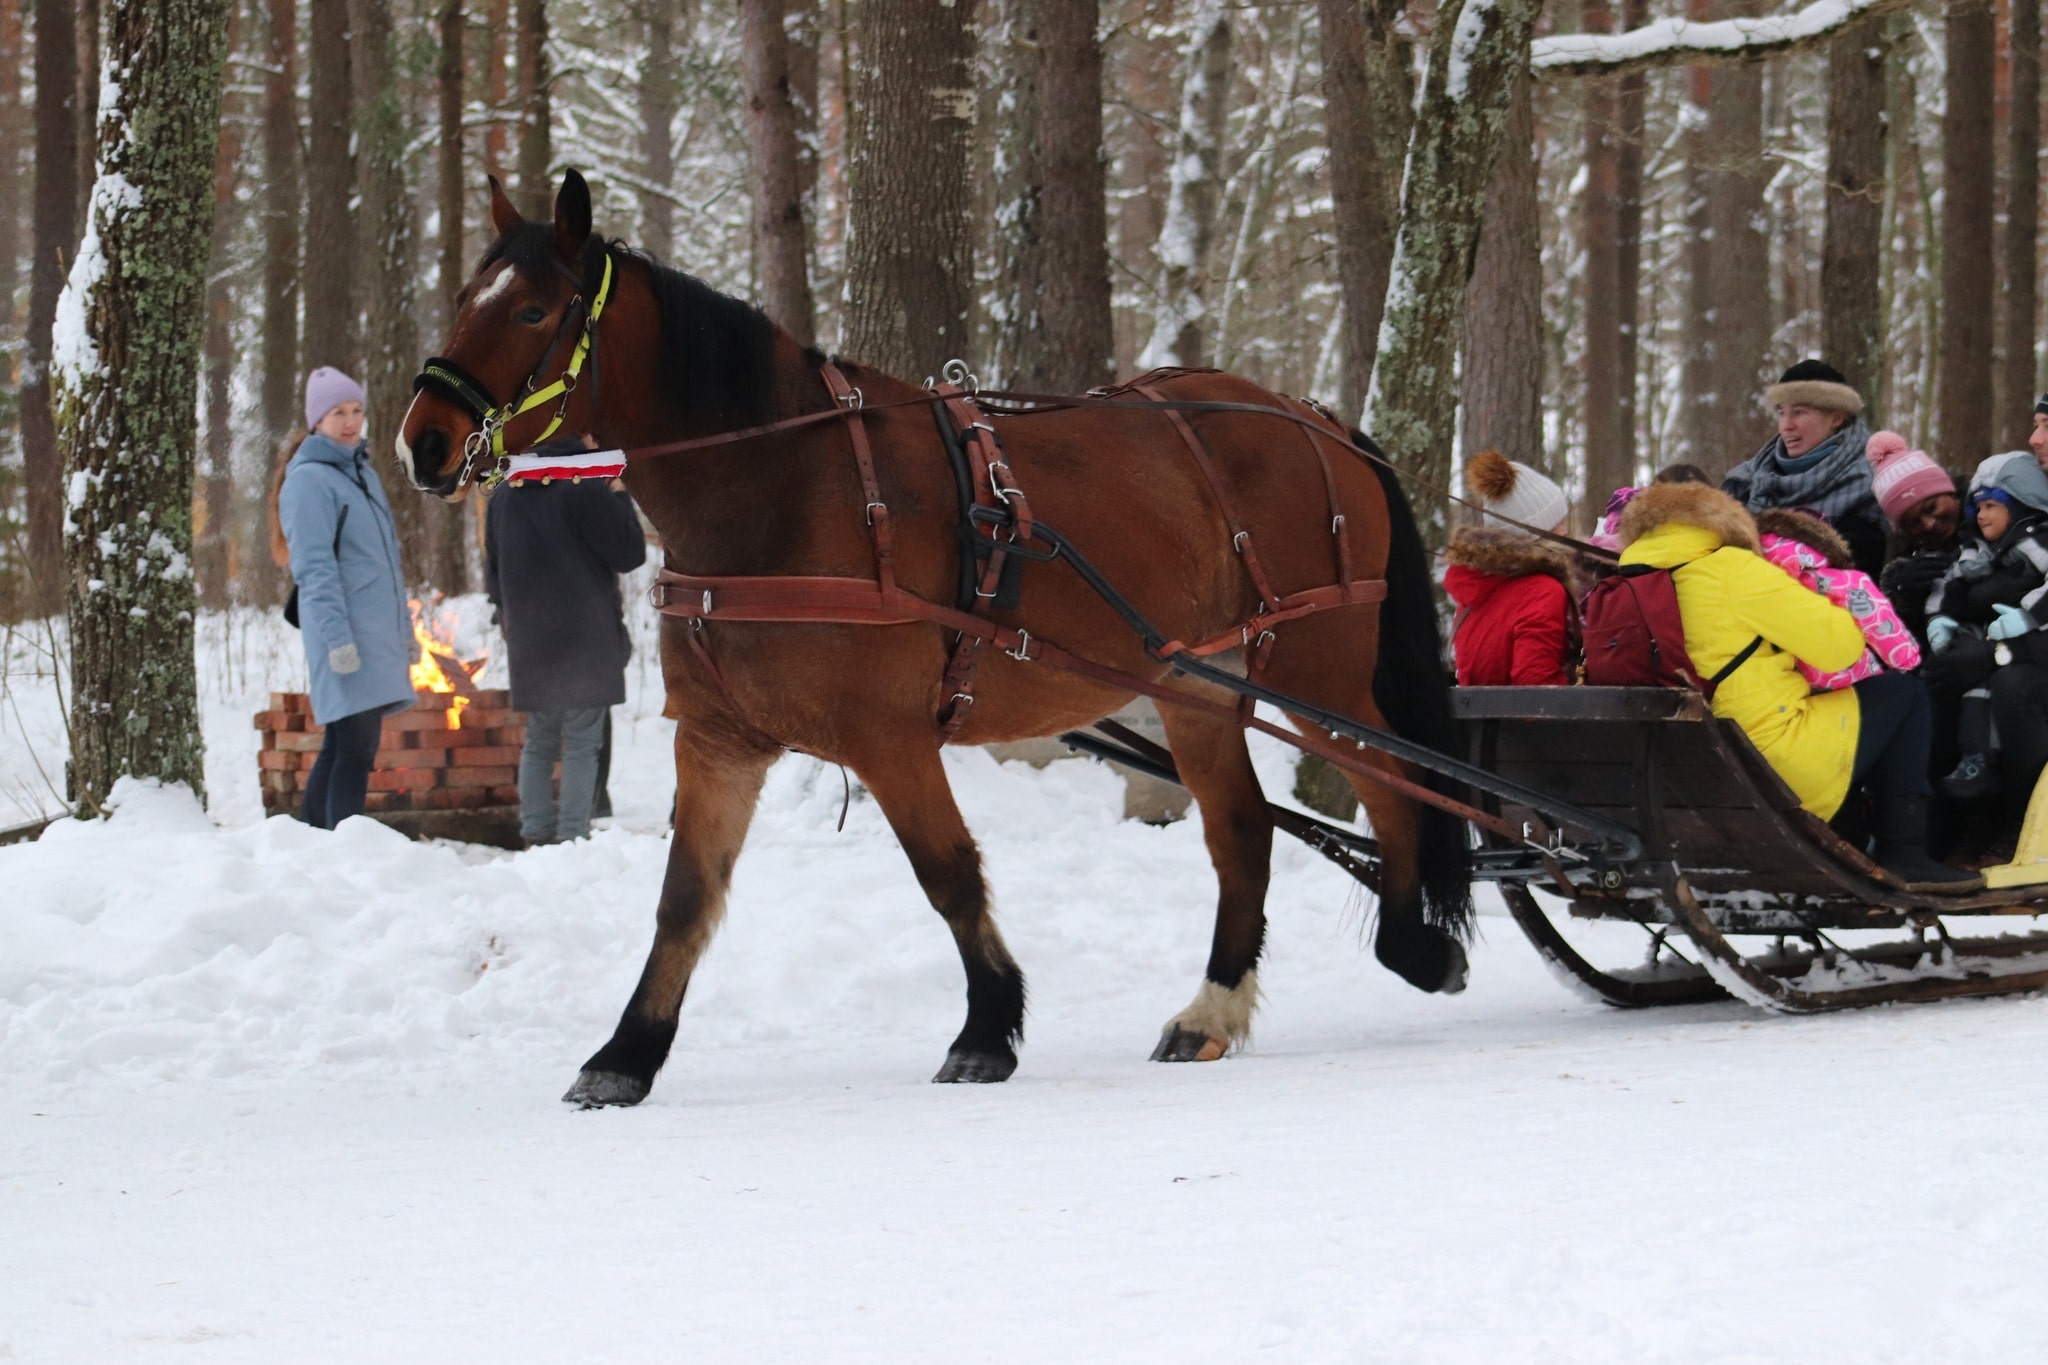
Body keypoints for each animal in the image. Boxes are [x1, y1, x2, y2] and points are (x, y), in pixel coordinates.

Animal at [395, 173, 1474, 1113]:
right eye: (464, 297)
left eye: (534, 312)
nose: (423, 440)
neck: (784, 483)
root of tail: (1315, 418)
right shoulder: (719, 742)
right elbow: (684, 900)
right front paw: (626, 1053)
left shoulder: (888, 736)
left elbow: (948, 872)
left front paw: (987, 1028)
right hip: (1196, 685)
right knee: (1244, 829)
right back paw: (1213, 1009)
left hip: (1317, 667)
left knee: (1392, 784)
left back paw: (1417, 948)